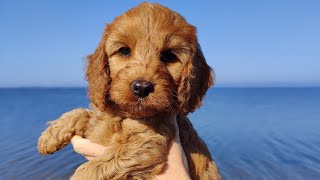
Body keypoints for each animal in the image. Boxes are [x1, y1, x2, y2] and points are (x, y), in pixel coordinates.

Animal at [37, 2, 220, 180]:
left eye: (169, 56)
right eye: (124, 51)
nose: (142, 87)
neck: (124, 115)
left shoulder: (147, 143)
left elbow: (98, 166)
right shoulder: (100, 124)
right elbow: (83, 113)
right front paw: (51, 135)